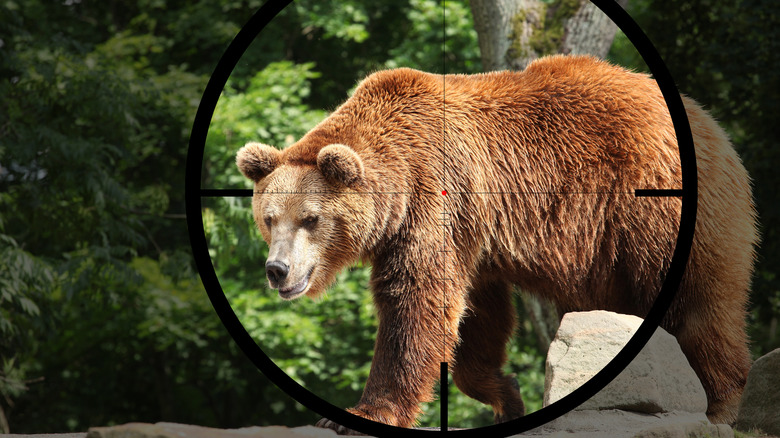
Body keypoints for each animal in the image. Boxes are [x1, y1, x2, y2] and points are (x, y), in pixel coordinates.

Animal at [235, 54, 758, 433]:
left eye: (310, 219)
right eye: (268, 218)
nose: (278, 270)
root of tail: (715, 126)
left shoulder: (434, 202)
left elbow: (415, 304)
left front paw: (360, 412)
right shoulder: (475, 239)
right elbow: (476, 319)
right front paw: (506, 393)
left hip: (656, 211)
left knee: (698, 303)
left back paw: (719, 404)